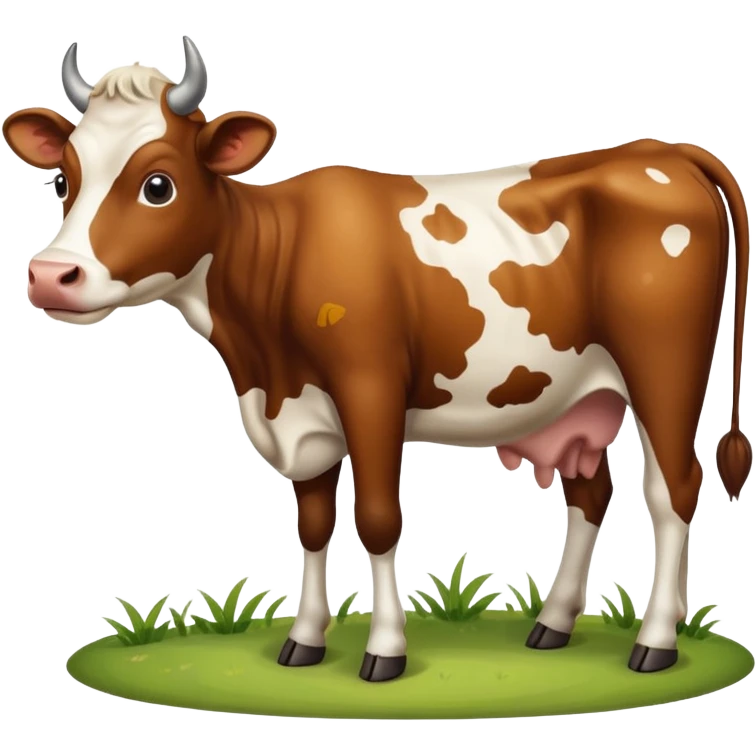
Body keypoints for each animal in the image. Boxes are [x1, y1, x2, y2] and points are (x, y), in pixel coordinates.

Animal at [5, 37, 752, 684]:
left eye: (158, 184)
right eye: (62, 180)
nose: (50, 276)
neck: (260, 358)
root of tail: (664, 152)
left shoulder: (370, 390)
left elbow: (377, 519)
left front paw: (385, 652)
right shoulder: (297, 411)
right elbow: (312, 525)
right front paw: (304, 641)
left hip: (666, 368)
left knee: (674, 488)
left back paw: (655, 641)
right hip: (580, 396)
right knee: (592, 492)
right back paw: (554, 625)